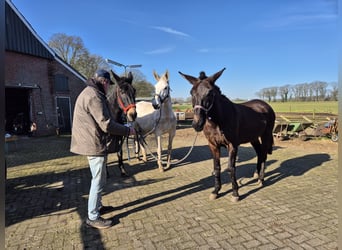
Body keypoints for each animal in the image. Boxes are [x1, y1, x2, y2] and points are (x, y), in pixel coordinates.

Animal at [179, 68, 276, 201]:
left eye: (210, 93)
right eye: (191, 92)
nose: (197, 124)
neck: (219, 121)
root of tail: (265, 105)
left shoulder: (232, 145)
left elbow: (231, 168)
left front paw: (235, 193)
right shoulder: (213, 145)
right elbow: (217, 167)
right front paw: (216, 191)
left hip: (265, 135)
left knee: (264, 154)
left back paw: (261, 178)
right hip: (253, 138)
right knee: (260, 153)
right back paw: (256, 175)